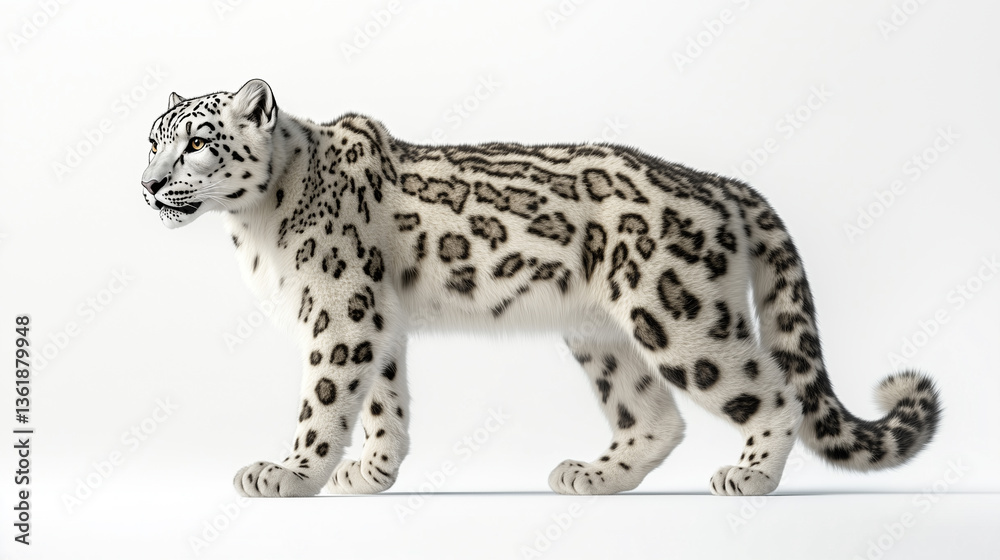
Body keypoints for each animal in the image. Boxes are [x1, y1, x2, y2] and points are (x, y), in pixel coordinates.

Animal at [140, 79, 941, 497]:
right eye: (152, 139)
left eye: (198, 141)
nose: (147, 184)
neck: (255, 229)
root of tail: (717, 182)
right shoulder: (377, 320)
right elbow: (383, 403)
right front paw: (371, 474)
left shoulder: (343, 312)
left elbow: (326, 400)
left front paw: (290, 471)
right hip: (599, 332)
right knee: (653, 414)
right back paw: (594, 475)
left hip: (679, 318)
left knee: (770, 390)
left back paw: (748, 476)